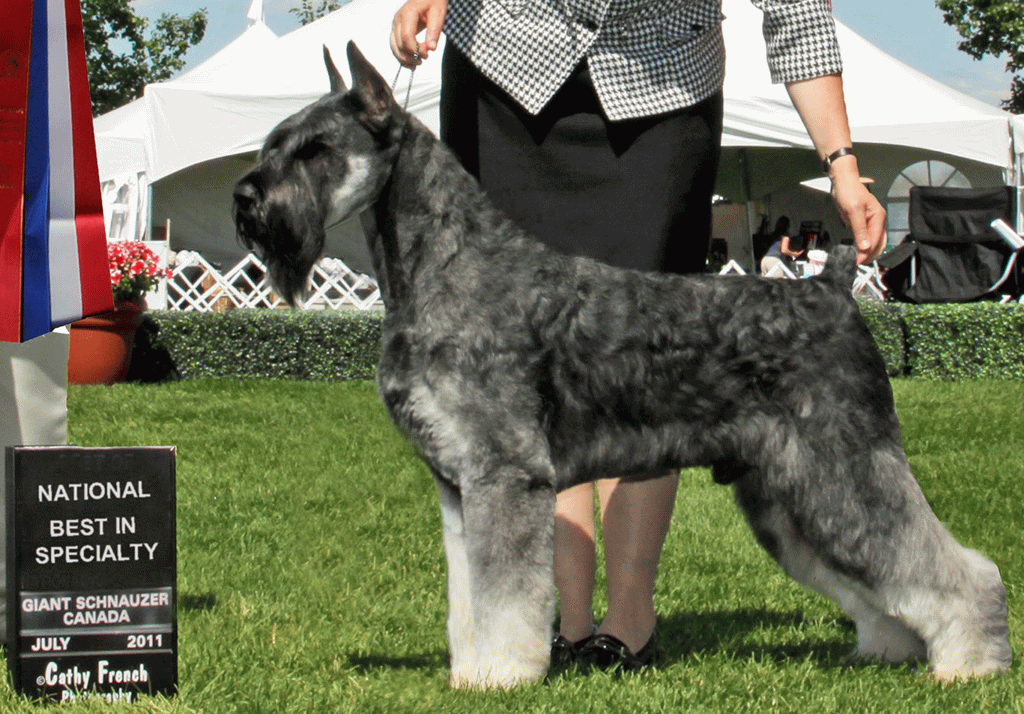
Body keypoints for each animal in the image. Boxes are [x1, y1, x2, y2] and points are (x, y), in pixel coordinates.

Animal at [235, 41, 1011, 688]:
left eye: (316, 149)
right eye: (275, 142)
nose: (246, 198)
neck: (443, 265)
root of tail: (832, 286)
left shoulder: (504, 477)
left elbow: (503, 599)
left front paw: (500, 678)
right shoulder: (460, 486)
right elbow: (468, 601)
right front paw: (467, 674)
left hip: (842, 467)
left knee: (950, 565)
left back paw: (970, 663)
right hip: (787, 494)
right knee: (878, 577)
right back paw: (888, 649)